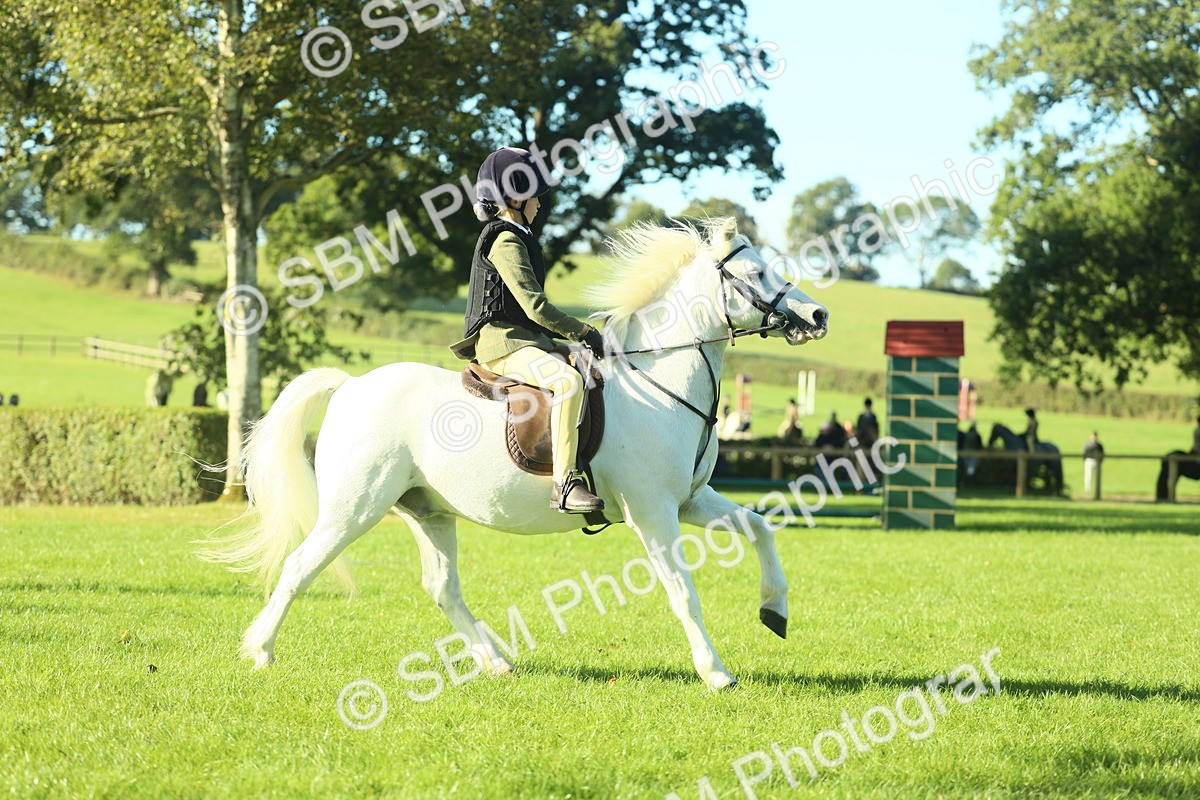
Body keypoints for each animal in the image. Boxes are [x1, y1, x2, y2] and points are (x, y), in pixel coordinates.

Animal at [201, 218, 830, 690]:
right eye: (756, 273)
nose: (818, 316)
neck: (658, 376)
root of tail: (352, 385)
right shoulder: (654, 513)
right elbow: (682, 591)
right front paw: (715, 672)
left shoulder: (691, 501)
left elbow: (760, 528)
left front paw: (775, 612)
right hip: (354, 507)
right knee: (301, 566)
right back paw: (260, 652)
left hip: (428, 510)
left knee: (442, 588)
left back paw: (496, 660)